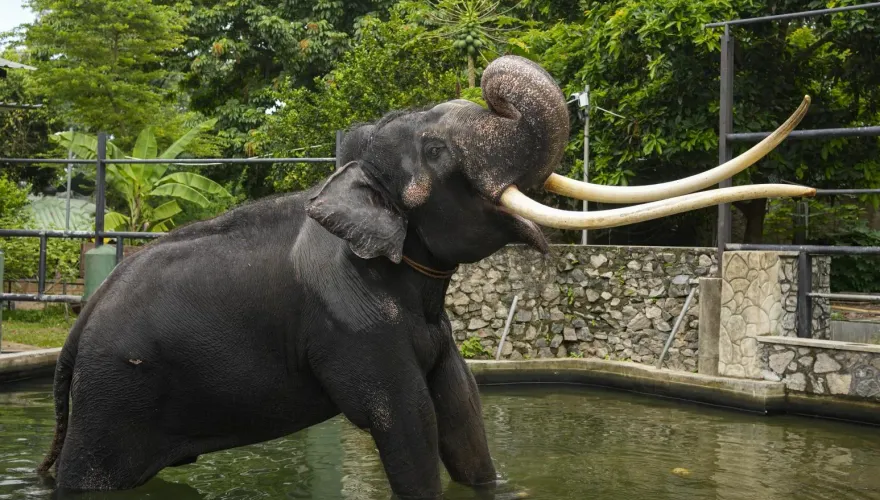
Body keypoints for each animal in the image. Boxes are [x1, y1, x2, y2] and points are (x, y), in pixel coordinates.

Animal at [36, 55, 814, 499]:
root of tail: (76, 331)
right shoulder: (350, 327)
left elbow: (463, 411)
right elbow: (407, 420)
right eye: (439, 152)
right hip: (114, 394)